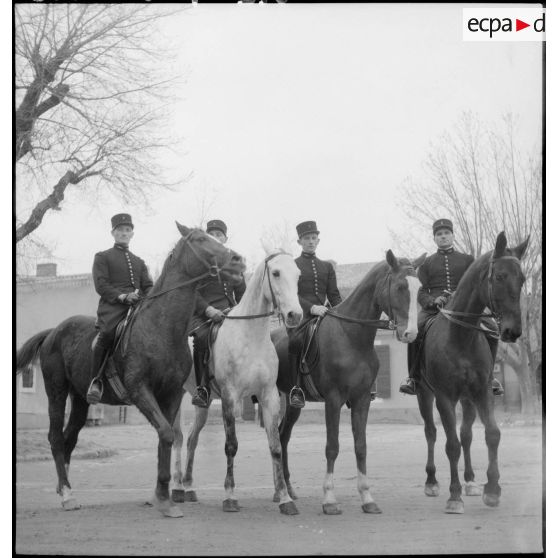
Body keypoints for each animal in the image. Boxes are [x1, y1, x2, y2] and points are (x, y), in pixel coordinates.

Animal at [15, 224, 245, 520]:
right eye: (201, 239)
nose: (238, 260)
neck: (161, 328)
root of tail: (53, 331)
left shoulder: (171, 394)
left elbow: (166, 437)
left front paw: (162, 496)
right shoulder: (140, 390)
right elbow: (167, 434)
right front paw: (165, 497)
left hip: (80, 400)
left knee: (69, 438)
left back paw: (62, 486)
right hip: (56, 392)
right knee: (55, 438)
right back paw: (67, 494)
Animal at [172, 249, 302, 516]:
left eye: (298, 275)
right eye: (276, 273)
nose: (295, 315)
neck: (250, 335)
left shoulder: (269, 396)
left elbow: (275, 446)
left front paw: (285, 499)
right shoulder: (230, 397)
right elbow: (231, 445)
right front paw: (230, 496)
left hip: (202, 404)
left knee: (191, 439)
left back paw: (189, 488)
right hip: (176, 398)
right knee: (178, 438)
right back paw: (178, 487)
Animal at [274, 252, 426, 516]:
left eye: (419, 289)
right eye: (400, 287)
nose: (411, 333)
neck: (351, 336)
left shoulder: (362, 399)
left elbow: (361, 446)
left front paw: (367, 497)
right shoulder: (333, 400)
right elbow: (332, 446)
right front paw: (329, 499)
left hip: (292, 403)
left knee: (283, 436)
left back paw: (288, 489)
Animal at [418, 232, 532, 516]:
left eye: (523, 278)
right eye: (499, 276)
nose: (513, 331)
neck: (461, 336)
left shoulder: (482, 392)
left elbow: (491, 434)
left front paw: (492, 489)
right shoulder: (444, 397)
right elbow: (451, 444)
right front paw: (454, 495)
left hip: (468, 398)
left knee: (467, 434)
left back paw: (470, 481)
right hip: (424, 395)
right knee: (431, 432)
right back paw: (432, 481)